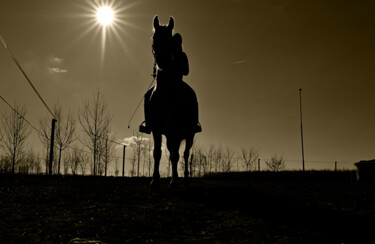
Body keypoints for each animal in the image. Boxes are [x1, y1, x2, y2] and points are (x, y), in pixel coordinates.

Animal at [145, 16, 201, 189]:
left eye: (170, 39)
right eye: (154, 37)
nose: (162, 60)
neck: (165, 94)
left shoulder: (176, 130)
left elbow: (176, 155)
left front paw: (174, 181)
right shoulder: (157, 129)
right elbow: (157, 153)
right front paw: (154, 180)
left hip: (188, 134)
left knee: (185, 154)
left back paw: (185, 179)